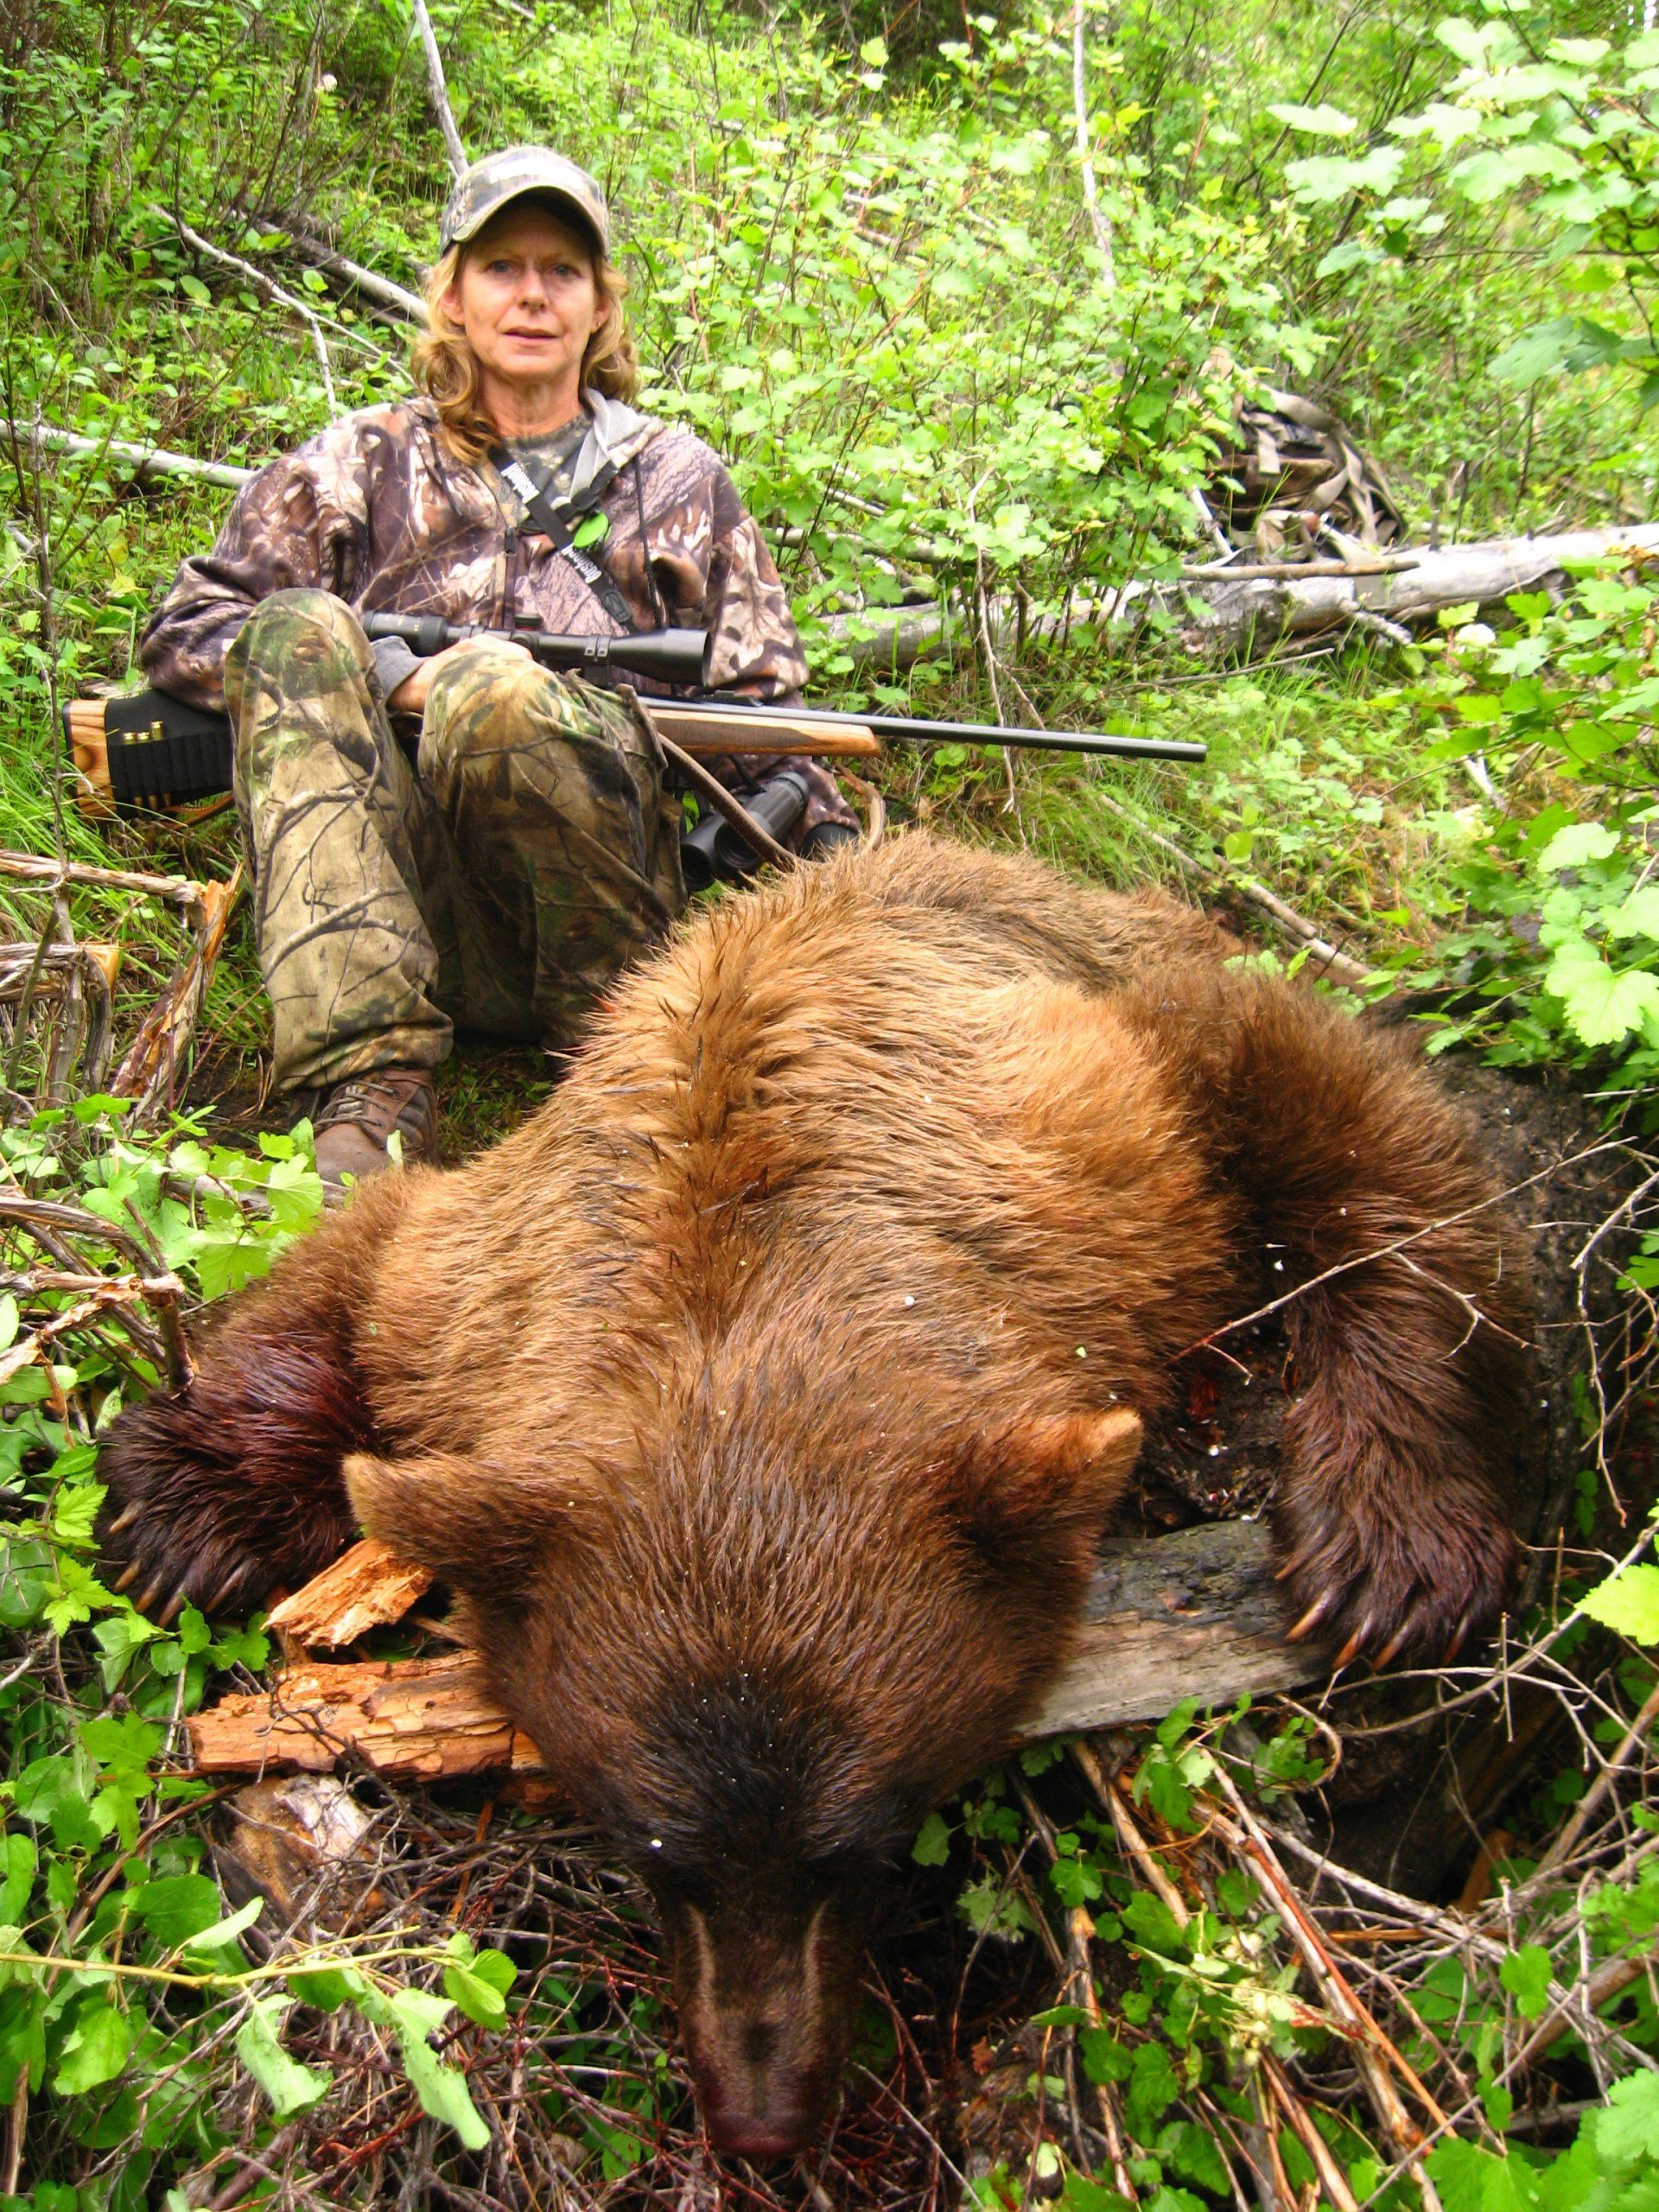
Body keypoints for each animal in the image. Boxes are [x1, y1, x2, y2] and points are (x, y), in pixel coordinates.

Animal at [97, 832, 1529, 2160]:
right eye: (653, 1853)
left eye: (867, 1846)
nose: (763, 2120)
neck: (742, 1279)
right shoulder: (487, 1284)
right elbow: (373, 1241)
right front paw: (183, 1511)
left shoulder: (1107, 1161)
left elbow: (1374, 1136)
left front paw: (1391, 1556)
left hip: (1132, 963)